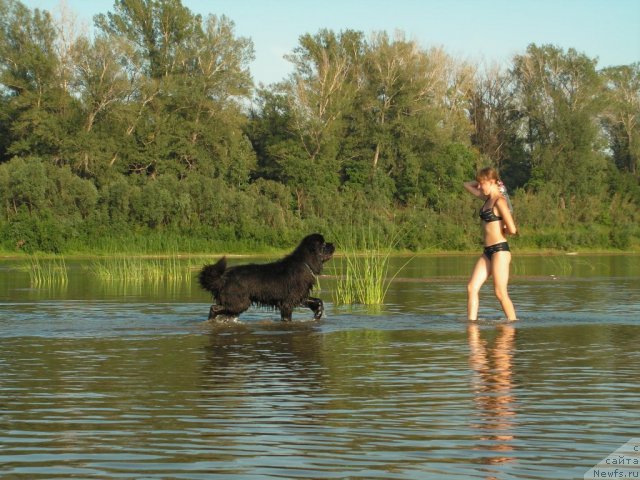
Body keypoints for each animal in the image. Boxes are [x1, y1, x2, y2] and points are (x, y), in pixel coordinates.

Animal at [198, 233, 336, 320]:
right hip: (239, 302)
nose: (333, 244)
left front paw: (318, 313)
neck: (305, 262)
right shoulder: (287, 302)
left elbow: (317, 300)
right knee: (214, 308)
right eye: (323, 244)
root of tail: (222, 278)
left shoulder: (299, 296)